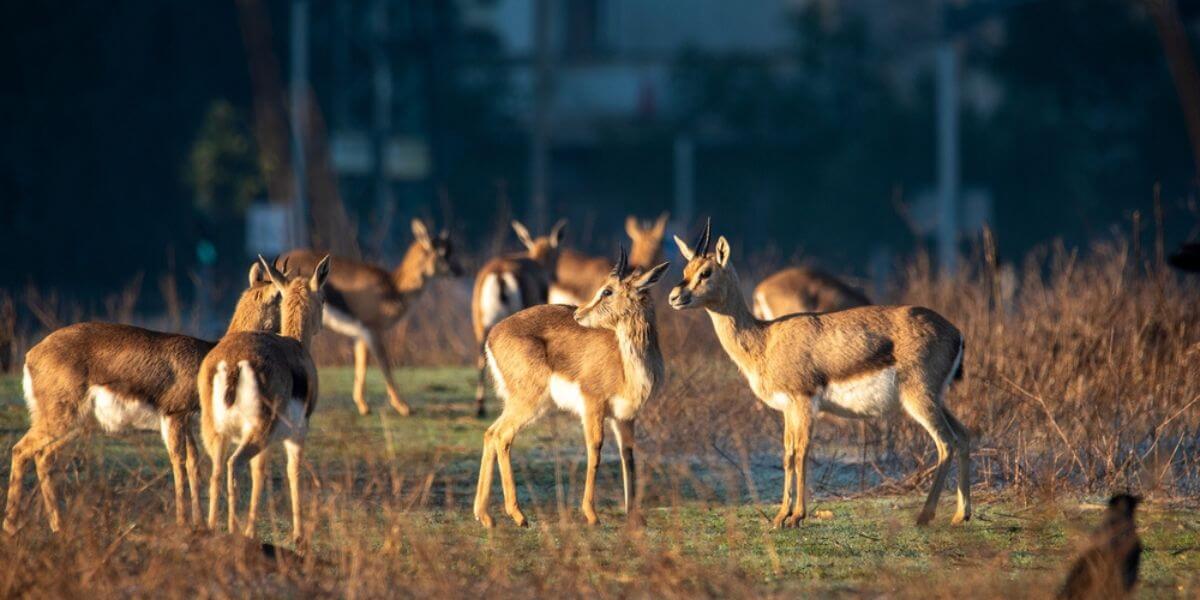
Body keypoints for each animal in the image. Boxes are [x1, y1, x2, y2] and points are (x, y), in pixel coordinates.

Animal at [4, 264, 283, 534]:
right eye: (280, 296)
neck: (209, 353)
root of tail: (31, 356)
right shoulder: (173, 413)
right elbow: (179, 461)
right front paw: (183, 523)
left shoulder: (185, 419)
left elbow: (194, 463)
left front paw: (201, 525)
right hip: (60, 417)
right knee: (20, 449)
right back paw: (11, 526)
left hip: (73, 424)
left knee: (43, 456)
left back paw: (58, 526)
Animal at [198, 255, 330, 542]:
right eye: (324, 298)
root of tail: (233, 364)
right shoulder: (297, 434)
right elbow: (292, 472)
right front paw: (298, 536)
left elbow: (260, 473)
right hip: (257, 431)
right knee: (234, 464)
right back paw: (235, 530)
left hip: (217, 433)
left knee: (216, 471)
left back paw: (214, 528)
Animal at [280, 218, 461, 416]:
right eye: (442, 252)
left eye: (451, 250)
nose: (459, 271)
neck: (394, 287)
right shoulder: (373, 330)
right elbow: (384, 364)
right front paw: (403, 407)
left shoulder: (360, 334)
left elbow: (362, 363)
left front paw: (363, 406)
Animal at [474, 248, 670, 528]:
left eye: (607, 291)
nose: (578, 314)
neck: (628, 365)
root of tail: (492, 336)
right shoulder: (592, 405)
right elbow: (595, 450)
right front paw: (591, 514)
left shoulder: (625, 416)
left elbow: (628, 456)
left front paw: (634, 516)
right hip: (529, 402)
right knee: (501, 436)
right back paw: (518, 516)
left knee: (490, 434)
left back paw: (485, 516)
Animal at [668, 220, 970, 527]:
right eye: (686, 270)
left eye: (706, 272)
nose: (674, 297)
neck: (765, 340)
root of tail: (955, 332)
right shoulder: (788, 409)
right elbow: (788, 455)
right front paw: (781, 515)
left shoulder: (803, 403)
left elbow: (802, 452)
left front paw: (797, 516)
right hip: (936, 399)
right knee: (965, 435)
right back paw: (961, 515)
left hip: (919, 398)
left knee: (946, 443)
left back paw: (925, 515)